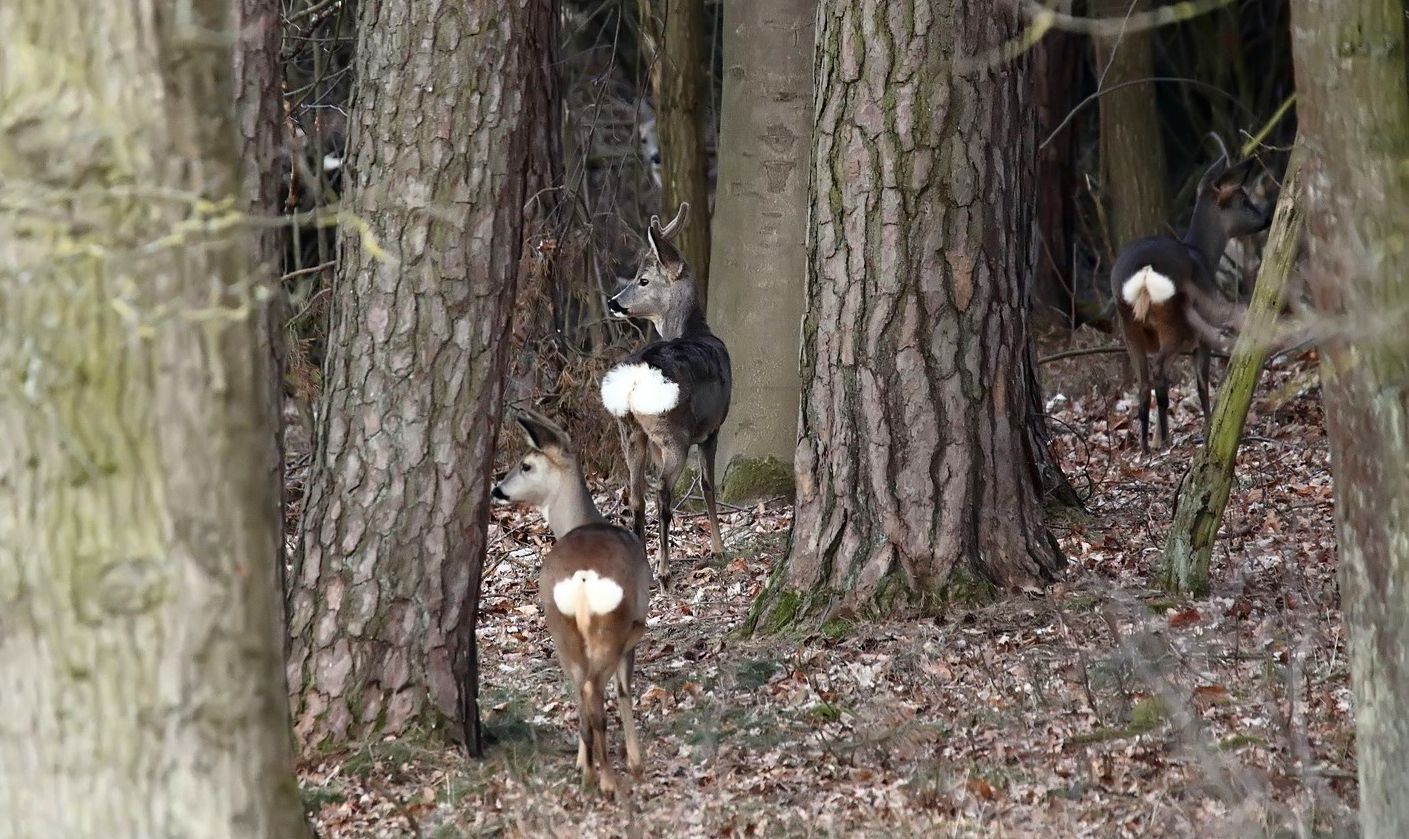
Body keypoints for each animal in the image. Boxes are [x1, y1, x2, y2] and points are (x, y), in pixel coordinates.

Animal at [493, 411, 650, 795]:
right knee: (595, 692)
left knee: (581, 694)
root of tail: (581, 579)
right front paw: (635, 760)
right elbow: (625, 690)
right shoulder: (634, 631)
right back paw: (607, 778)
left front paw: (584, 761)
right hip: (612, 626)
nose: (496, 489)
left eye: (526, 464)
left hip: (560, 628)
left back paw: (589, 771)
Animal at [600, 201, 732, 583]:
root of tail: (632, 379)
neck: (694, 330)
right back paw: (663, 569)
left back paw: (643, 563)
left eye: (643, 280)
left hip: (631, 431)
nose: (614, 302)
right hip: (674, 432)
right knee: (661, 489)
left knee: (635, 494)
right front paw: (718, 547)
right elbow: (707, 484)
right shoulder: (712, 428)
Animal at [1115, 143, 1273, 454]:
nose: (1266, 218)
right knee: (1159, 374)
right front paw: (1209, 426)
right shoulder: (1203, 336)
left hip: (1129, 326)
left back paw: (1146, 446)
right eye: (1244, 200)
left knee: (1143, 383)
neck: (1204, 255)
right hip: (1175, 324)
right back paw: (1164, 440)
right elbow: (1202, 384)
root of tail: (1145, 274)